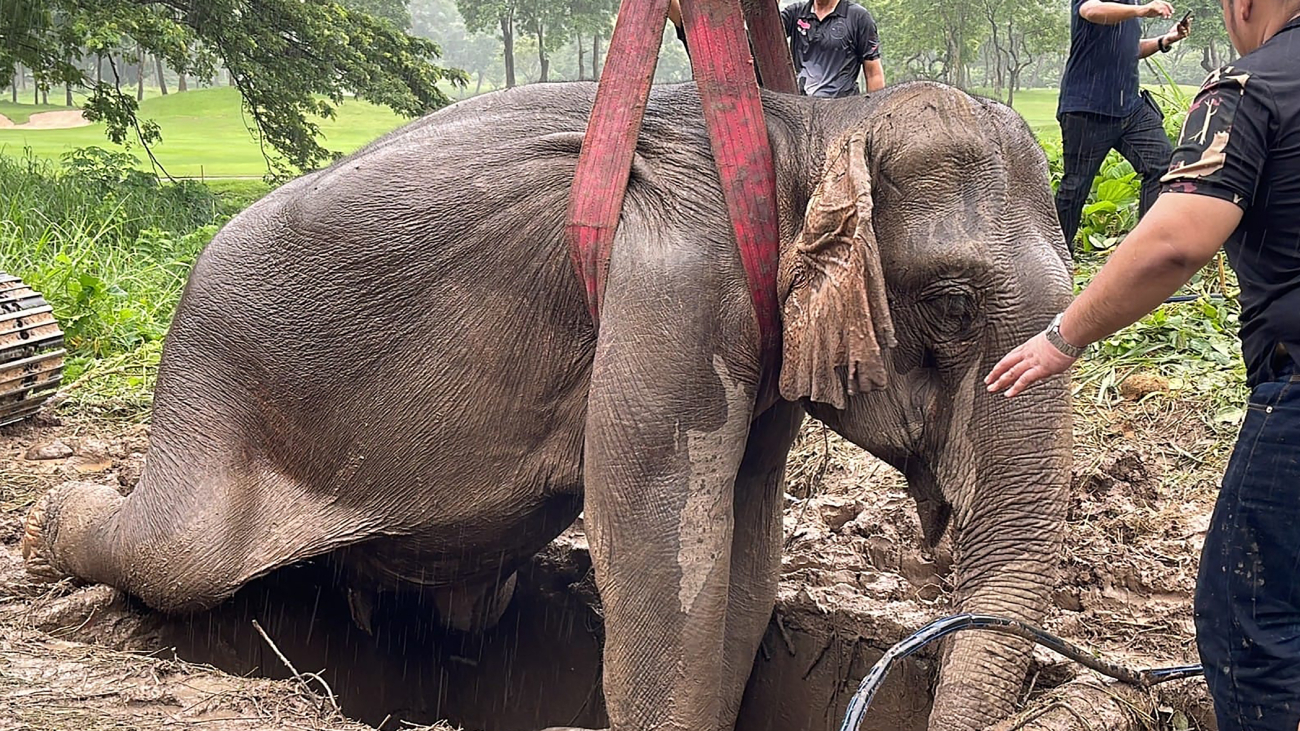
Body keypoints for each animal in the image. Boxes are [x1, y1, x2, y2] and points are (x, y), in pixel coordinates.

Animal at [20, 79, 1071, 728]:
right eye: (954, 304)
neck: (804, 123)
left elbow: (743, 538)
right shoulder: (679, 285)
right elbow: (657, 534)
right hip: (215, 393)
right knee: (178, 553)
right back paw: (44, 527)